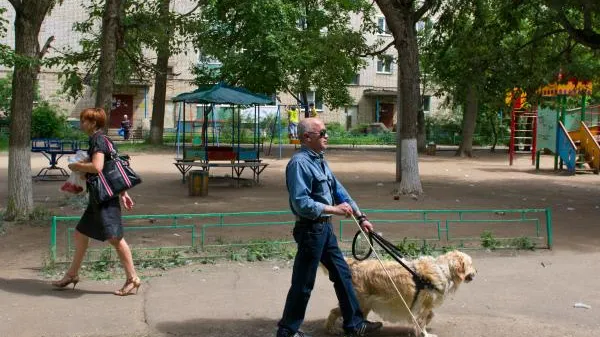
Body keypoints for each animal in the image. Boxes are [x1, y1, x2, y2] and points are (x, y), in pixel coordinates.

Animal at [326, 251, 476, 334]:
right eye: (471, 263)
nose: (476, 271)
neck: (442, 269)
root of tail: (355, 264)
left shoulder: (424, 306)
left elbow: (429, 316)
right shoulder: (424, 305)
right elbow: (422, 321)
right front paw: (425, 333)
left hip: (365, 304)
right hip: (360, 302)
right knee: (335, 312)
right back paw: (331, 329)